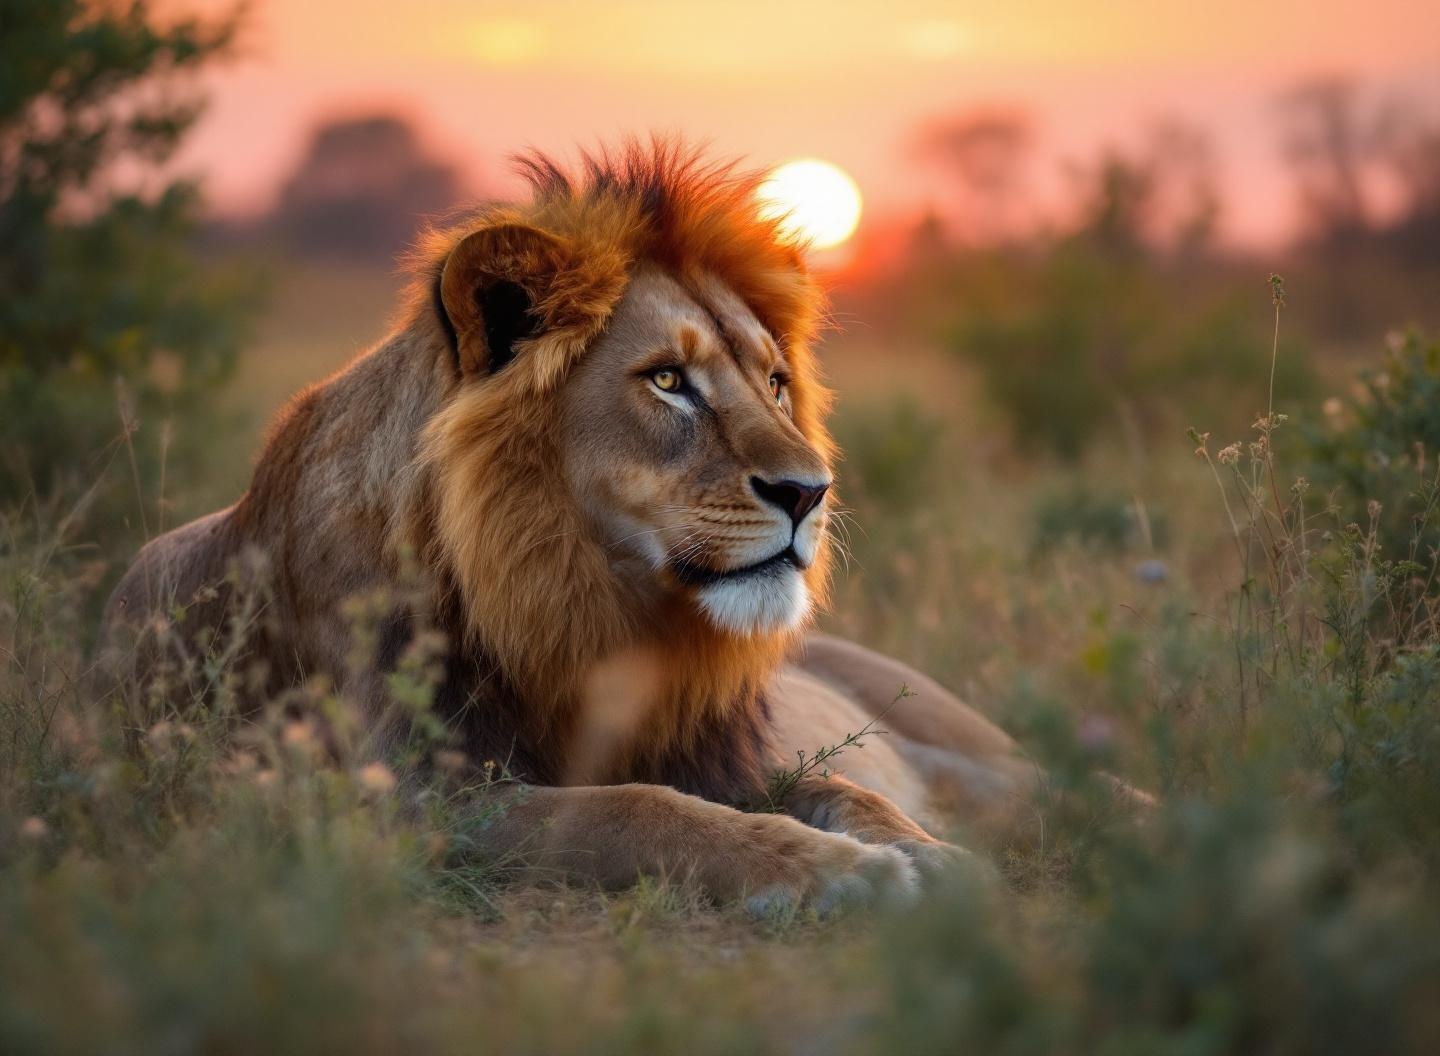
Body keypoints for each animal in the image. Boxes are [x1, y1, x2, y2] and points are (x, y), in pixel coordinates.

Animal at [102, 140, 1040, 915]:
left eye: (776, 383)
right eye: (668, 380)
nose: (811, 492)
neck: (590, 603)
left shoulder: (726, 755)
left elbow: (848, 793)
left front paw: (925, 855)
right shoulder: (422, 798)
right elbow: (641, 812)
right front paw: (845, 870)